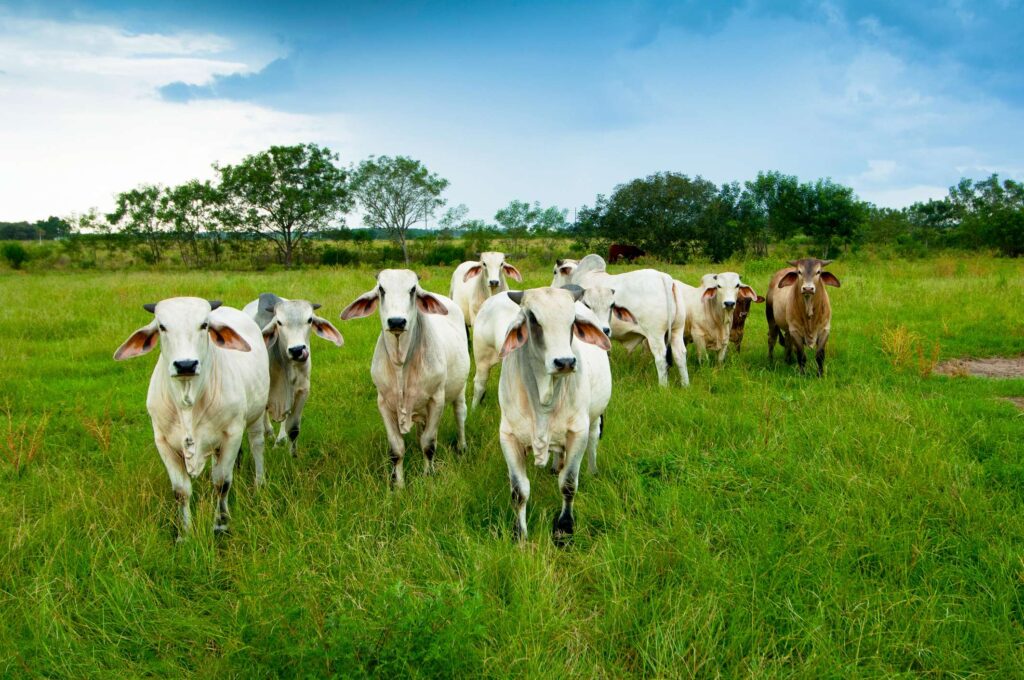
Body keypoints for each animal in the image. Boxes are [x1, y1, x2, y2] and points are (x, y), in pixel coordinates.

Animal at [114, 294, 270, 540]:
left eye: (204, 325)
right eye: (162, 326)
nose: (185, 364)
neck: (188, 400)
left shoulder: (232, 434)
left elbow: (222, 483)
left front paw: (221, 525)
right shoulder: (163, 442)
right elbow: (181, 491)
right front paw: (184, 533)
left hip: (256, 415)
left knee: (257, 446)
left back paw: (259, 482)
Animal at [242, 292, 344, 456]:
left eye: (310, 320)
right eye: (279, 322)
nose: (297, 350)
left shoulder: (302, 391)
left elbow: (294, 428)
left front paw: (292, 455)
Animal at [344, 268, 471, 485]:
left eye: (412, 290)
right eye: (381, 289)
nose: (396, 321)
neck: (400, 362)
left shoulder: (436, 399)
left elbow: (429, 444)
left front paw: (428, 476)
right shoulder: (383, 403)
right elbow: (397, 449)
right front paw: (398, 484)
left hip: (459, 389)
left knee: (460, 414)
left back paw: (462, 447)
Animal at [497, 284, 610, 540]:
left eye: (572, 321)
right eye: (532, 318)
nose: (565, 362)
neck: (543, 400)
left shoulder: (578, 432)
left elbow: (568, 484)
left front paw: (564, 529)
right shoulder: (508, 436)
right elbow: (519, 491)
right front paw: (519, 535)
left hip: (594, 419)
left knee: (592, 442)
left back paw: (593, 471)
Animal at [569, 251, 688, 385]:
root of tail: (664, 277)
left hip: (655, 334)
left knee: (661, 357)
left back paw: (663, 386)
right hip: (677, 330)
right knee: (680, 354)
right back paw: (685, 385)